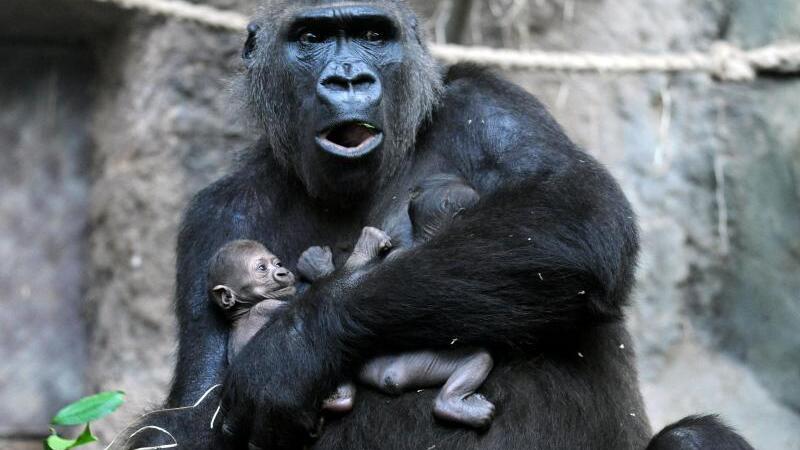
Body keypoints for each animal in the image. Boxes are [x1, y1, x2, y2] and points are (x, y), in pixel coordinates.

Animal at [298, 173, 494, 428]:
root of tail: (386, 377)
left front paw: (317, 265)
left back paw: (339, 397)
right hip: (420, 364)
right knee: (479, 358)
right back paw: (453, 405)